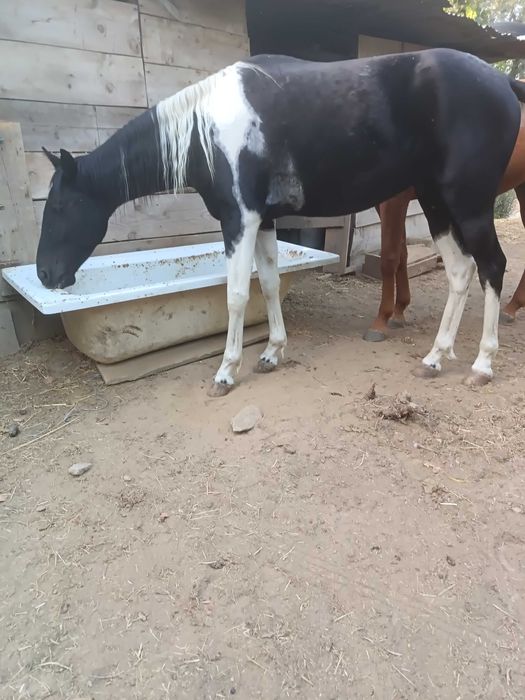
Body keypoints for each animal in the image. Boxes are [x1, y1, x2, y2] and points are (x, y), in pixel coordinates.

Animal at [365, 101, 525, 342]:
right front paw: (399, 310)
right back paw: (511, 308)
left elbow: (389, 258)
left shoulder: (395, 199)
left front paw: (380, 321)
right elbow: (402, 254)